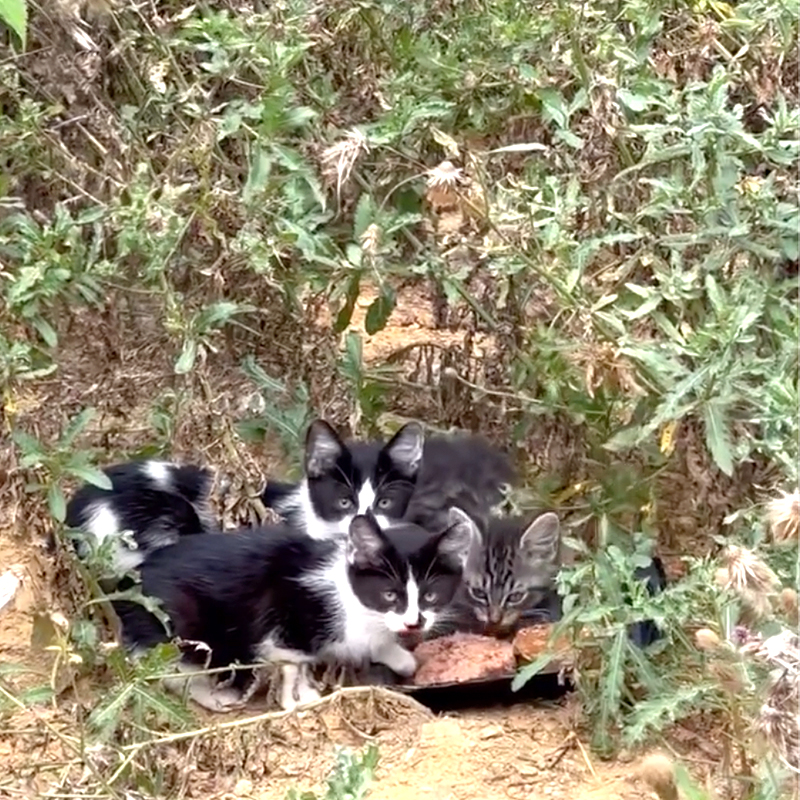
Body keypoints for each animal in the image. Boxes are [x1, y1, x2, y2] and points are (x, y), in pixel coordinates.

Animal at [115, 510, 472, 708]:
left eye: (430, 596)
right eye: (389, 595)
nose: (414, 623)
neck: (348, 596)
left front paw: (400, 657)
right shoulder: (285, 620)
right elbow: (292, 663)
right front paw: (296, 700)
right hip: (180, 625)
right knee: (170, 665)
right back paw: (214, 695)